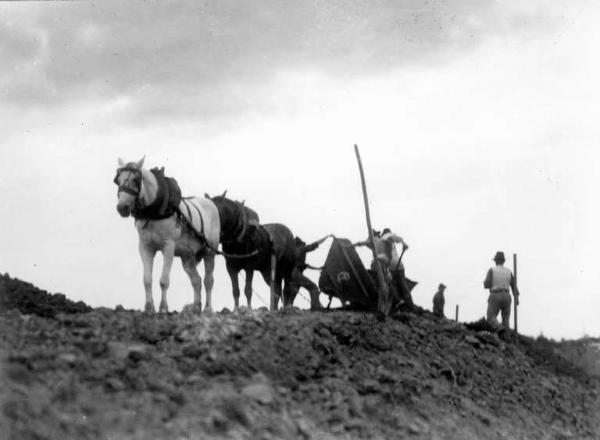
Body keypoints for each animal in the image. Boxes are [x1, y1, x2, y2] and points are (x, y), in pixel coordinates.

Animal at [113, 157, 220, 312]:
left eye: (135, 179)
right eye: (118, 180)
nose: (122, 208)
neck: (154, 211)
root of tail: (211, 204)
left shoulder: (168, 246)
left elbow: (164, 281)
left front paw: (163, 308)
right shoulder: (145, 247)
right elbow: (147, 279)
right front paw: (149, 307)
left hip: (209, 251)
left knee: (208, 280)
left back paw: (208, 309)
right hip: (187, 257)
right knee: (196, 280)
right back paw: (195, 307)